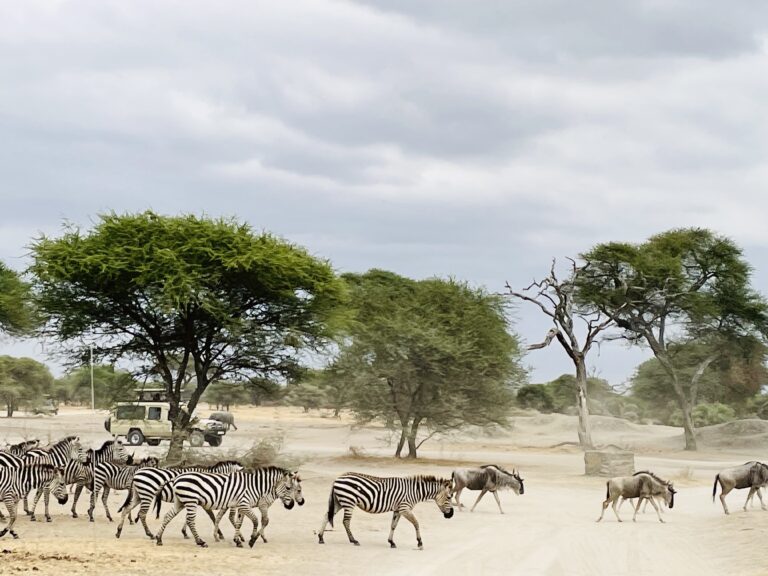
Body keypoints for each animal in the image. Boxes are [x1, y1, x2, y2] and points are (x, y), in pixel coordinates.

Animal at [114, 460, 243, 540]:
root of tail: (137, 472)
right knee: (141, 514)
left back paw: (119, 531)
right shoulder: (201, 501)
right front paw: (220, 534)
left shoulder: (193, 500)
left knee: (126, 509)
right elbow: (212, 517)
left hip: (139, 496)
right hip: (147, 494)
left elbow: (189, 517)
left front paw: (185, 532)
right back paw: (150, 534)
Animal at [154, 466, 298, 548]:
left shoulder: (241, 506)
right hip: (191, 501)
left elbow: (239, 523)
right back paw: (200, 542)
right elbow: (255, 520)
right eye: (288, 488)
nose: (291, 505)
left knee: (167, 516)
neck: (254, 486)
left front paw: (238, 540)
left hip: (180, 501)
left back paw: (159, 539)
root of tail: (177, 478)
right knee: (190, 521)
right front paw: (251, 540)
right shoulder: (244, 504)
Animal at [316, 472, 452, 548]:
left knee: (326, 516)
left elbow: (393, 526)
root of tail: (337, 478)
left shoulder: (398, 510)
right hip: (349, 502)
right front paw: (419, 543)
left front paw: (391, 542)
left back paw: (321, 538)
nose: (450, 515)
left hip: (339, 502)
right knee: (346, 521)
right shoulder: (404, 508)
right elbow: (416, 523)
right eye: (449, 497)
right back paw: (353, 540)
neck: (415, 491)